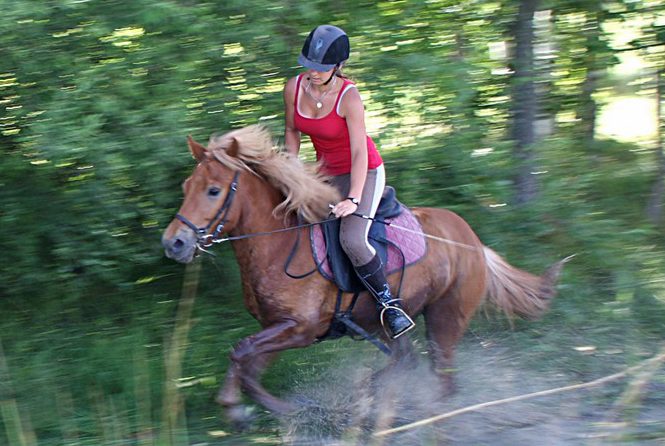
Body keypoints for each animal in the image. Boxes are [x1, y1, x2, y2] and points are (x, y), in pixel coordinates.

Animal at [163, 124, 564, 422]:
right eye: (186, 187)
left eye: (213, 191)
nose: (174, 243)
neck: (279, 244)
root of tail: (473, 242)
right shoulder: (277, 327)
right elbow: (248, 365)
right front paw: (283, 408)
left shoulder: (301, 329)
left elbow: (240, 352)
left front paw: (236, 409)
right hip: (383, 322)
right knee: (405, 360)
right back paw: (368, 396)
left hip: (445, 318)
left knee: (442, 377)